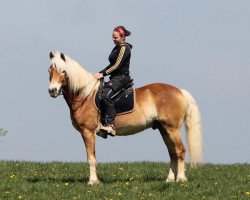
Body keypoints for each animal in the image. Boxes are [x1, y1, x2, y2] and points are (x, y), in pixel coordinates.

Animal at [47, 51, 202, 184]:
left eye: (63, 71)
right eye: (49, 71)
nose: (52, 91)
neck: (85, 95)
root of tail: (179, 91)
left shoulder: (88, 132)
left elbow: (90, 157)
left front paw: (92, 182)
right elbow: (93, 156)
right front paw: (97, 181)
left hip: (172, 128)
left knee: (180, 150)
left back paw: (181, 179)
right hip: (164, 129)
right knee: (172, 153)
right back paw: (169, 179)